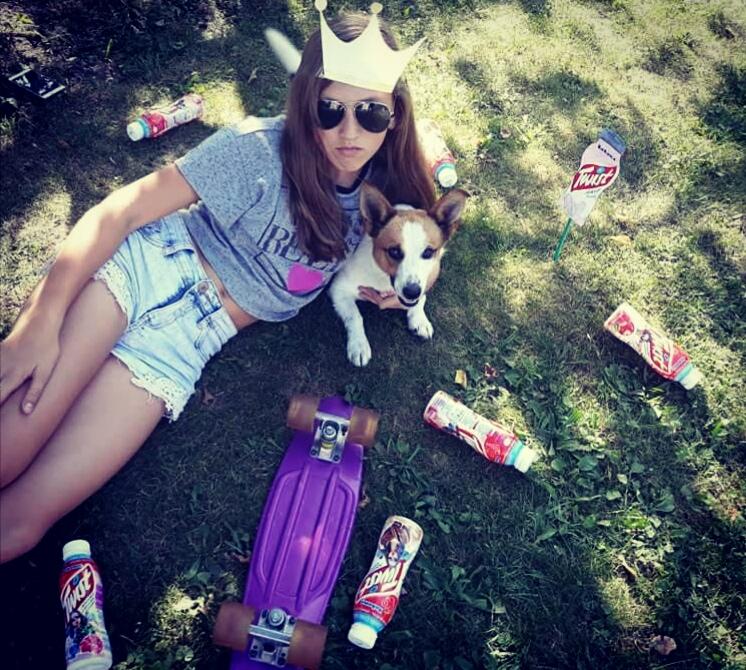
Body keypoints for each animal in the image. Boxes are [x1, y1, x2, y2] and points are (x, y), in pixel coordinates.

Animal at [329, 182, 468, 366]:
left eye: (428, 252)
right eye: (394, 251)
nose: (411, 292)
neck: (382, 278)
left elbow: (422, 298)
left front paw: (419, 319)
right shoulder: (338, 289)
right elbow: (355, 316)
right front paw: (358, 344)